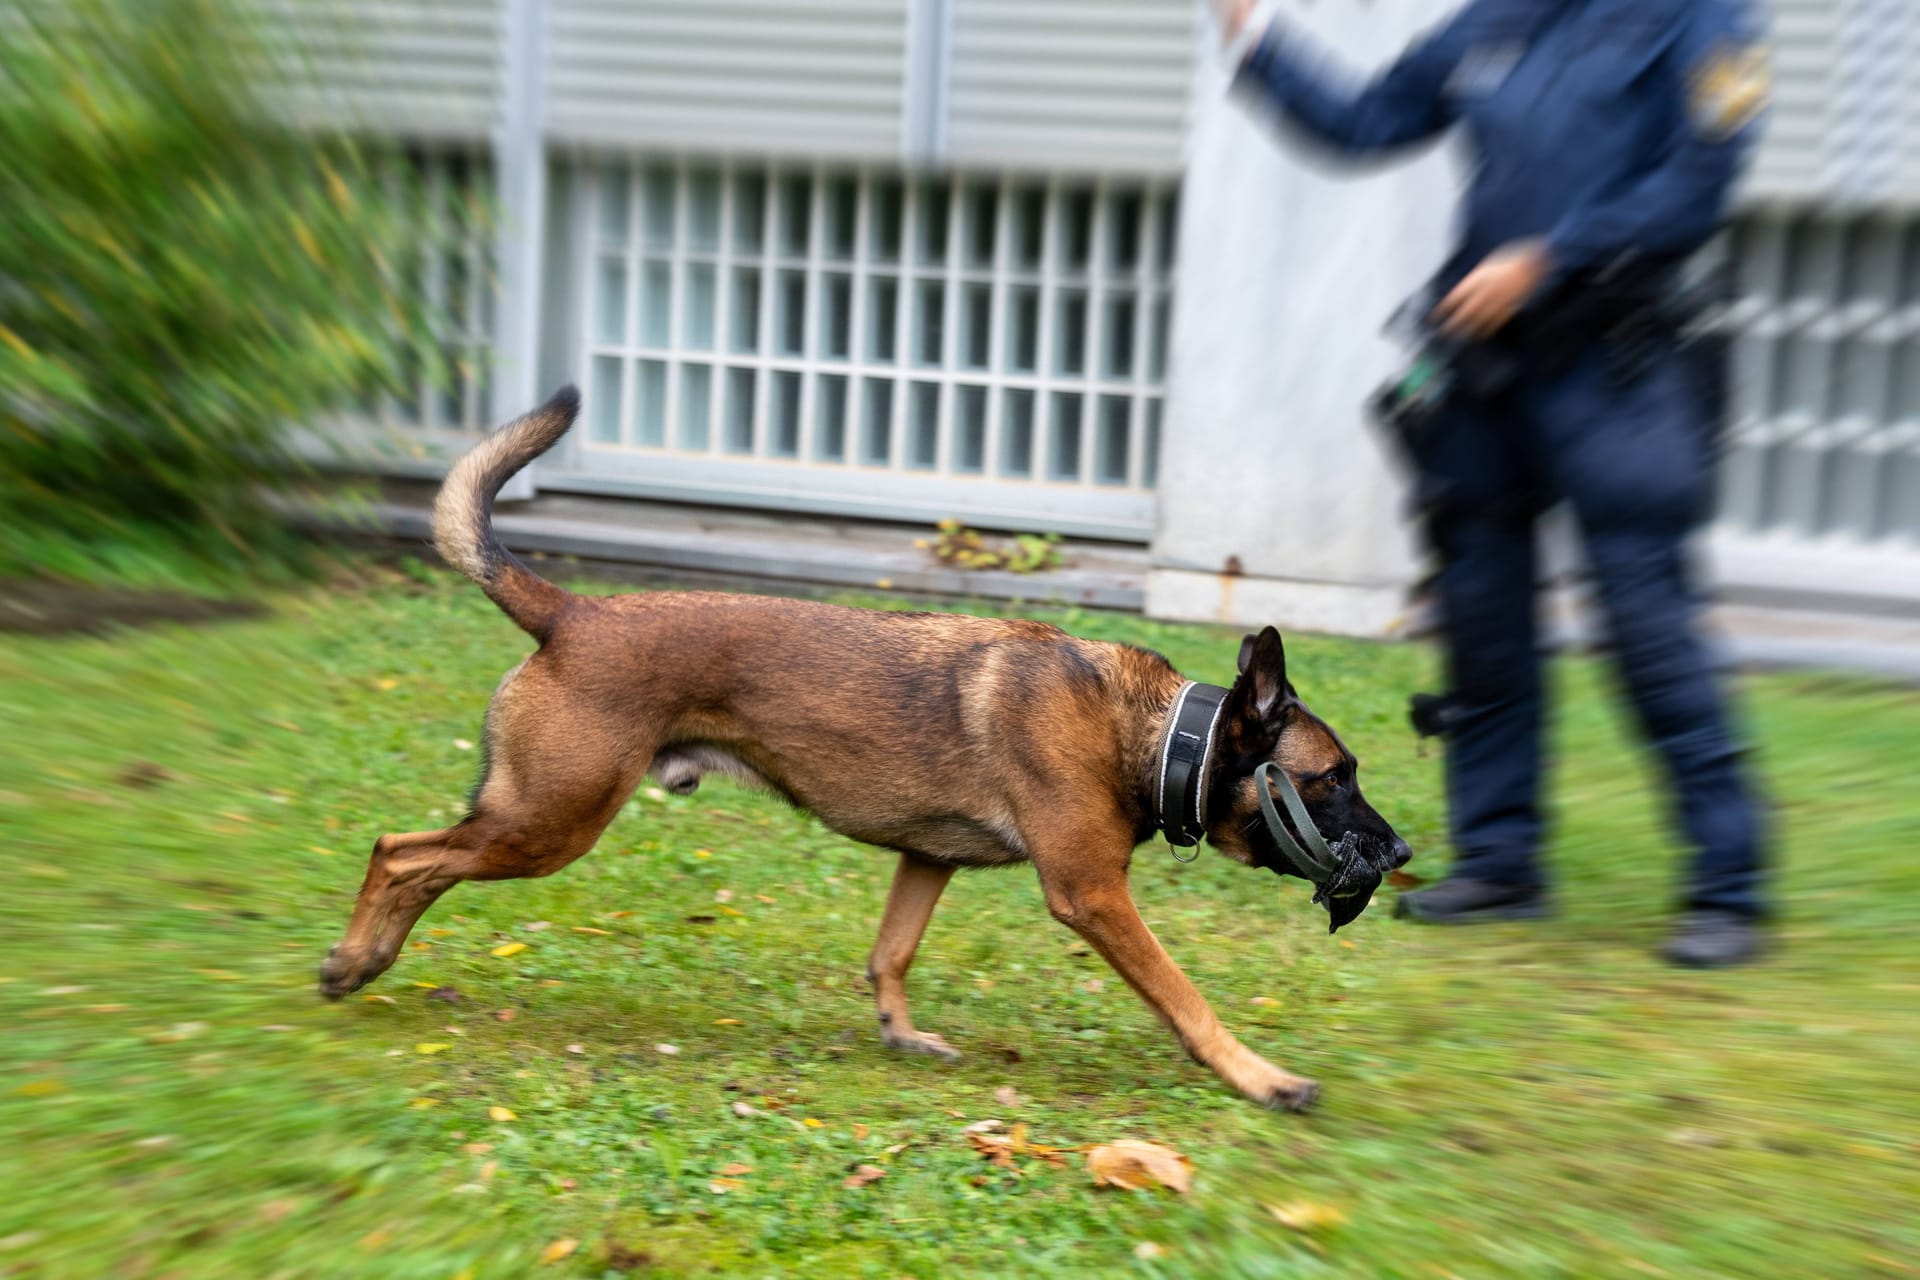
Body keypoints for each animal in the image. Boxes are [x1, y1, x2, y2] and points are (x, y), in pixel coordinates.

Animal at [322, 385, 1413, 1105]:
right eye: (1333, 778)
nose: (1402, 852)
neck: (1148, 729)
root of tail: (573, 612)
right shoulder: (1094, 896)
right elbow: (1187, 997)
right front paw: (1259, 1075)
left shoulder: (925, 860)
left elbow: (892, 953)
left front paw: (901, 1032)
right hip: (549, 821)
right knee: (401, 852)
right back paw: (353, 958)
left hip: (534, 817)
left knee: (421, 859)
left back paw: (366, 958)